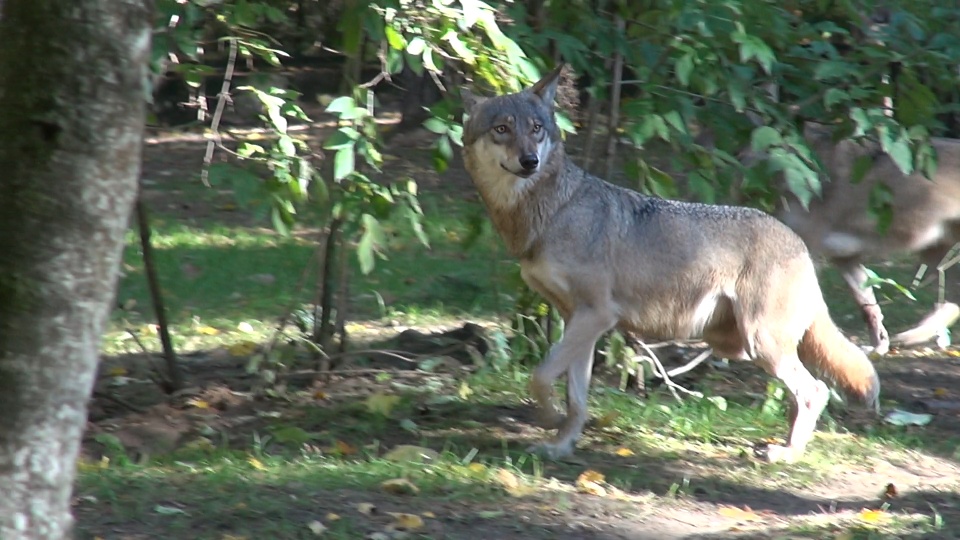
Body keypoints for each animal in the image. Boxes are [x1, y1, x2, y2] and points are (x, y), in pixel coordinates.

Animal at [462, 65, 880, 464]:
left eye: (536, 129)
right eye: (502, 129)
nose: (529, 161)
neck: (552, 211)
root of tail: (800, 245)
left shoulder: (596, 315)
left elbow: (539, 376)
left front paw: (548, 421)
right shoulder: (578, 320)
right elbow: (574, 398)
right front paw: (561, 445)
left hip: (761, 344)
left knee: (815, 390)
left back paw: (787, 455)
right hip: (739, 345)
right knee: (804, 393)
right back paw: (781, 447)